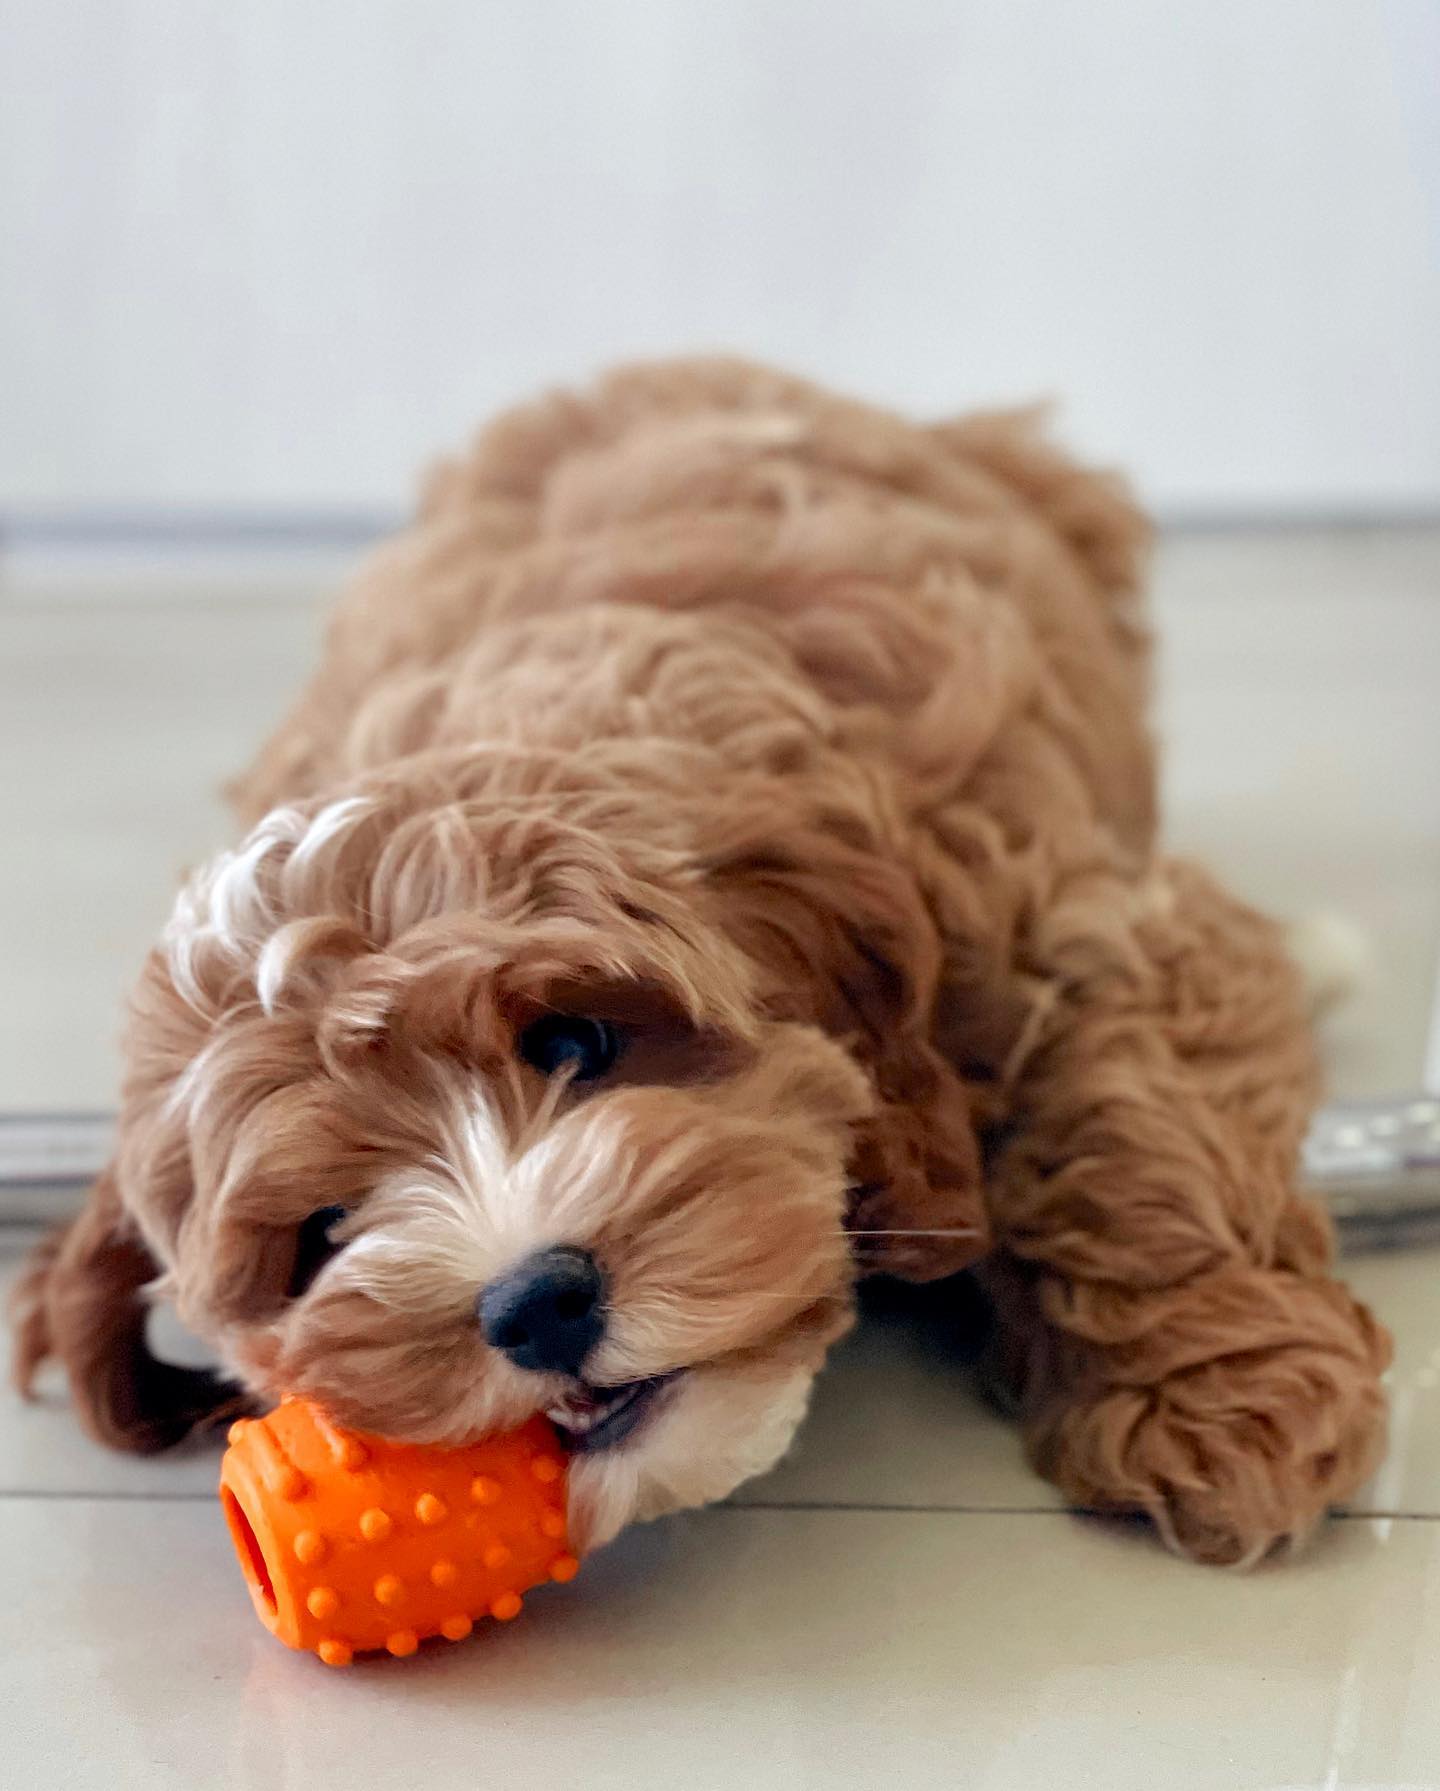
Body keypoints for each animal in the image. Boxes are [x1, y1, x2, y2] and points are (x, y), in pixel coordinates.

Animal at [13, 358, 1390, 1563]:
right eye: (326, 1231)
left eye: (572, 1041)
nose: (533, 1302)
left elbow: (1133, 1126)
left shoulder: (1073, 925)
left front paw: (1222, 1404)